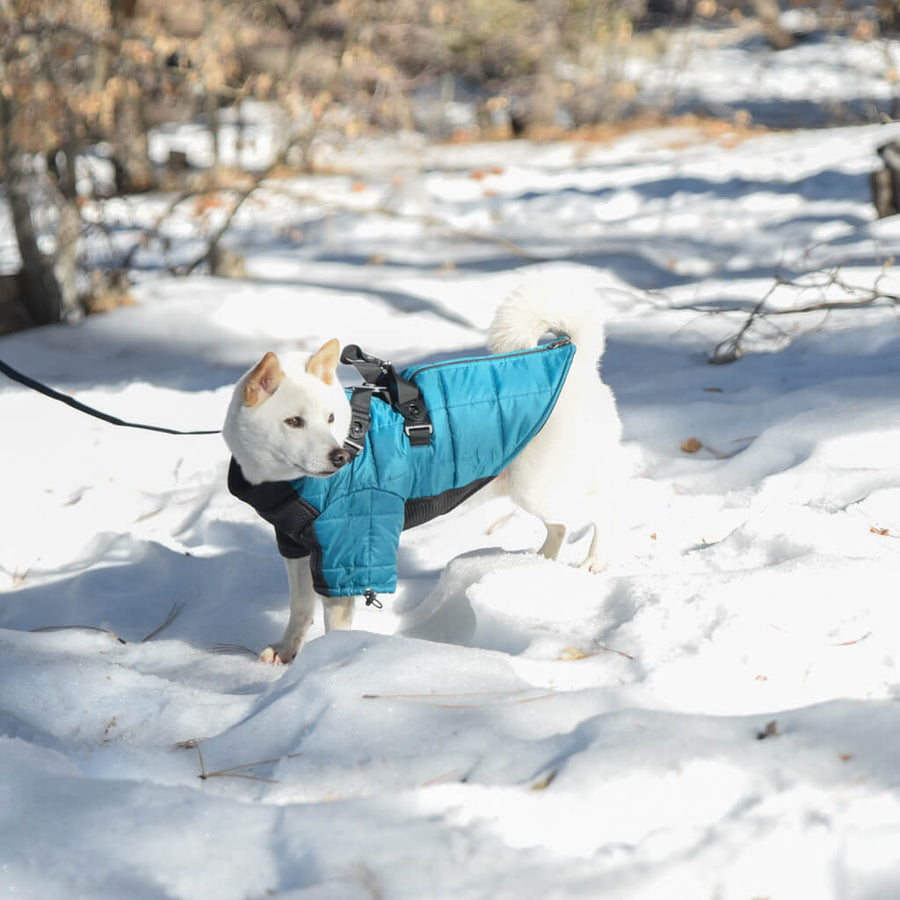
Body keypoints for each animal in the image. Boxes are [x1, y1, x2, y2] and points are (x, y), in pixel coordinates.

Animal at [221, 274, 624, 660]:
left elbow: (335, 621)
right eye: (294, 422)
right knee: (561, 526)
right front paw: (287, 653)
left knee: (605, 508)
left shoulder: (349, 551)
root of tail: (578, 363)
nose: (340, 457)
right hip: (535, 490)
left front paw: (328, 659)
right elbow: (300, 609)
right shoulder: (295, 546)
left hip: (543, 487)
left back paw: (595, 560)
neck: (285, 482)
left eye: (331, 418)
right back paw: (539, 562)